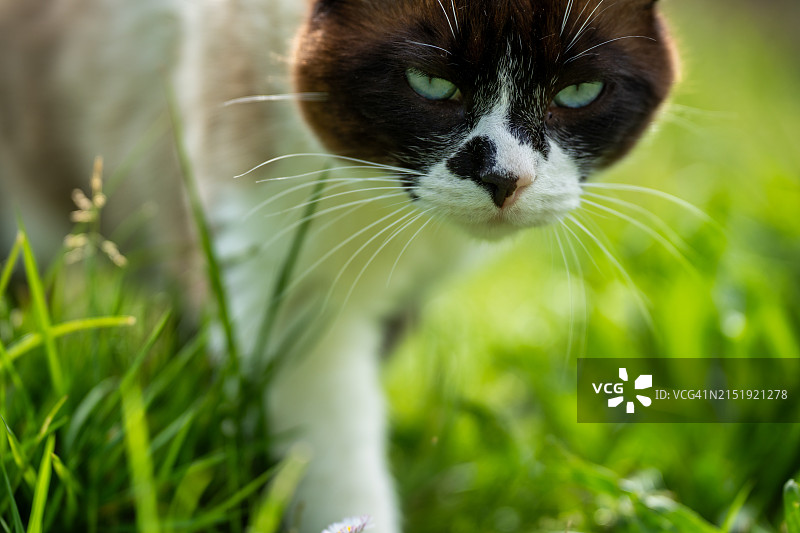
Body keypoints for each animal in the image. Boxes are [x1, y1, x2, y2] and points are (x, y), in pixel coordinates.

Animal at [0, 1, 676, 532]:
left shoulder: (398, 301)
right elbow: (338, 473)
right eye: (430, 84)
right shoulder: (286, 314)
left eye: (579, 93)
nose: (506, 181)